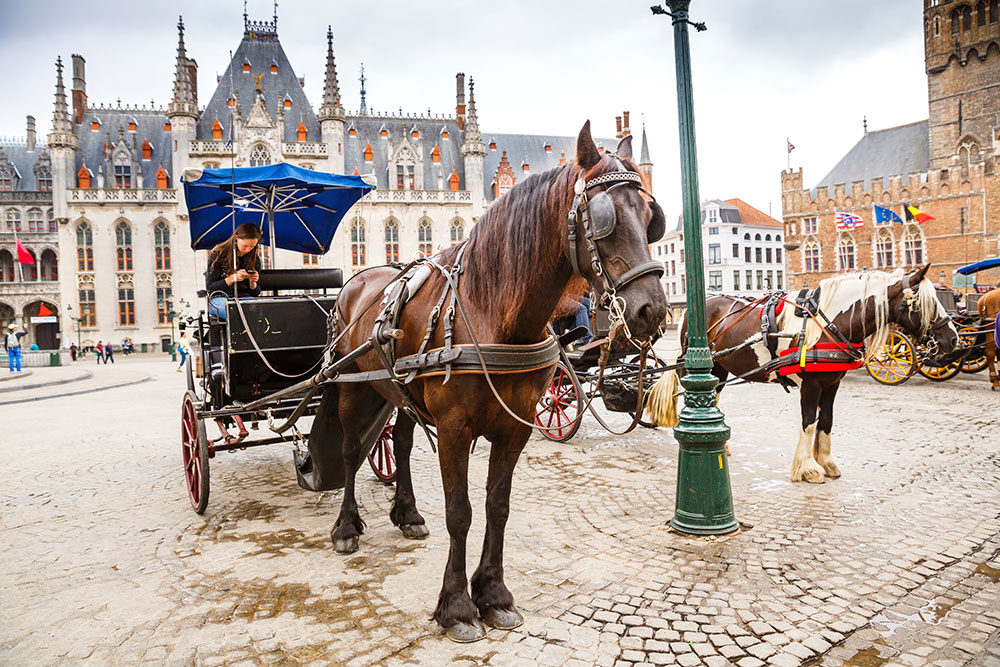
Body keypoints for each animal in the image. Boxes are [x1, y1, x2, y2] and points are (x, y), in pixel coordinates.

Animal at [316, 122, 668, 644]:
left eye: (650, 216)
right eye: (602, 217)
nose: (653, 311)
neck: (493, 311)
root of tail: (356, 284)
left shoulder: (515, 426)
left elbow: (497, 505)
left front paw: (495, 596)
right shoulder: (454, 429)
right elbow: (460, 511)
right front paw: (458, 607)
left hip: (400, 393)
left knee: (400, 444)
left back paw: (407, 514)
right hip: (352, 386)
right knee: (349, 452)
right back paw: (345, 527)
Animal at [648, 264, 960, 486]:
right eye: (922, 303)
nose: (953, 339)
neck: (828, 323)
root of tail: (696, 308)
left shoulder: (832, 383)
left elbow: (827, 421)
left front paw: (827, 462)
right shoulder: (810, 385)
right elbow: (809, 422)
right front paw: (808, 468)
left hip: (720, 370)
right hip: (708, 368)